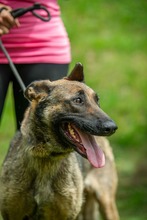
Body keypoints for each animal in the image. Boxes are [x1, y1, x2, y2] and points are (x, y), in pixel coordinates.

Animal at [0, 62, 118, 219]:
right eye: (78, 100)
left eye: (97, 101)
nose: (112, 127)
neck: (46, 157)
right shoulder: (13, 214)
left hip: (107, 203)